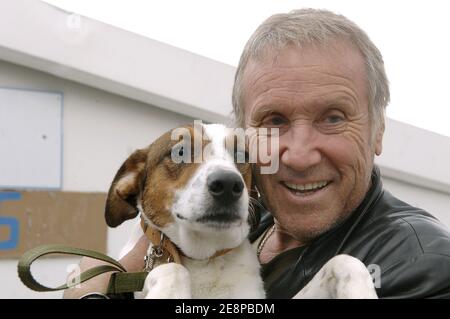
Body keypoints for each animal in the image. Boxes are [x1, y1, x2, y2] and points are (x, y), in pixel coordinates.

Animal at [103, 122, 378, 300]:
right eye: (180, 151)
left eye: (242, 154)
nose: (228, 184)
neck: (205, 259)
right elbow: (173, 269)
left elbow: (345, 260)